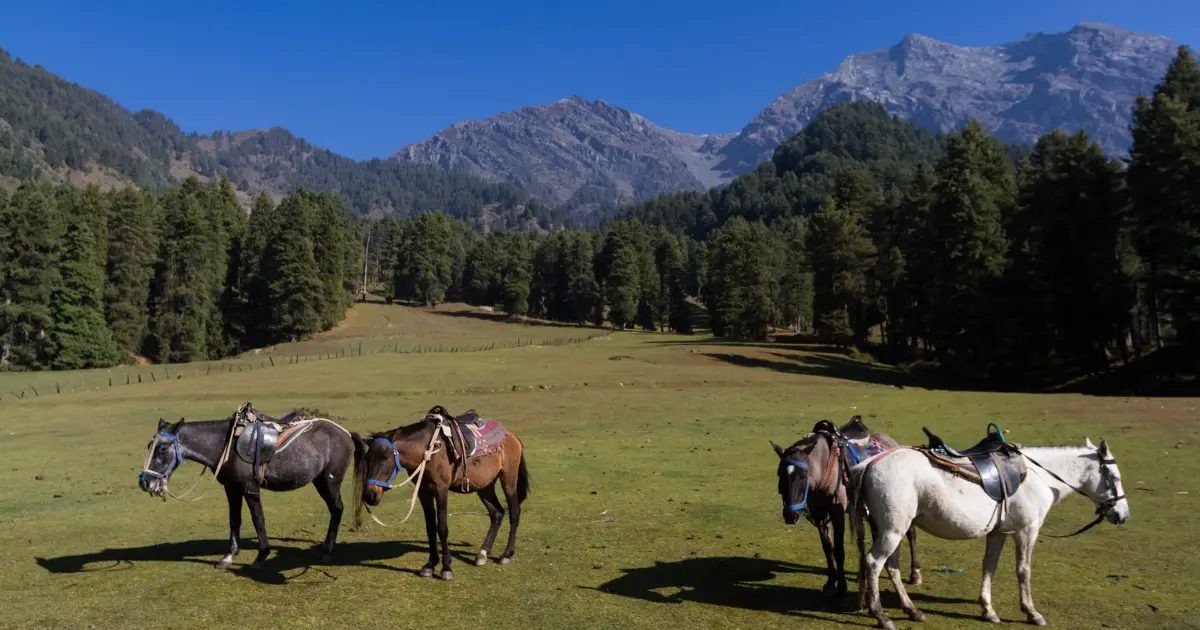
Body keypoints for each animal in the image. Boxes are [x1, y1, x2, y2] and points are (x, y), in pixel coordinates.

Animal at [138, 412, 357, 568]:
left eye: (163, 448)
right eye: (149, 445)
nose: (145, 482)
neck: (224, 447)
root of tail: (346, 434)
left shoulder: (250, 488)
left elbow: (258, 519)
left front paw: (261, 555)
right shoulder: (231, 488)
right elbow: (234, 520)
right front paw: (228, 556)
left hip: (330, 481)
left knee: (337, 509)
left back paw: (327, 550)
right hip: (320, 481)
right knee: (335, 509)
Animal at [350, 405, 530, 578]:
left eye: (385, 457)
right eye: (367, 458)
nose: (370, 495)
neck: (428, 451)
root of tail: (511, 435)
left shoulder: (441, 489)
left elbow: (442, 527)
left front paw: (446, 568)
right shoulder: (423, 491)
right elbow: (430, 527)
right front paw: (430, 565)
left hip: (508, 479)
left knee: (514, 513)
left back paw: (506, 555)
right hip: (484, 486)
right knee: (497, 513)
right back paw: (482, 554)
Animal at [772, 415, 921, 597]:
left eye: (803, 474)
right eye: (780, 474)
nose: (790, 516)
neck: (824, 467)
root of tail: (893, 442)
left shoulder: (837, 511)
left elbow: (839, 549)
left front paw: (842, 586)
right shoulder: (818, 512)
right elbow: (827, 548)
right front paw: (830, 582)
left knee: (911, 533)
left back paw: (915, 573)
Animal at [849, 436, 1128, 628]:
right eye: (1114, 477)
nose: (1122, 515)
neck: (1039, 477)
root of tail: (869, 464)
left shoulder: (999, 533)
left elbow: (989, 566)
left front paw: (988, 610)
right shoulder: (1027, 531)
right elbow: (1023, 571)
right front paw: (1031, 612)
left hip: (889, 528)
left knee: (891, 565)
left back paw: (912, 610)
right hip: (893, 530)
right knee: (874, 562)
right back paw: (881, 616)